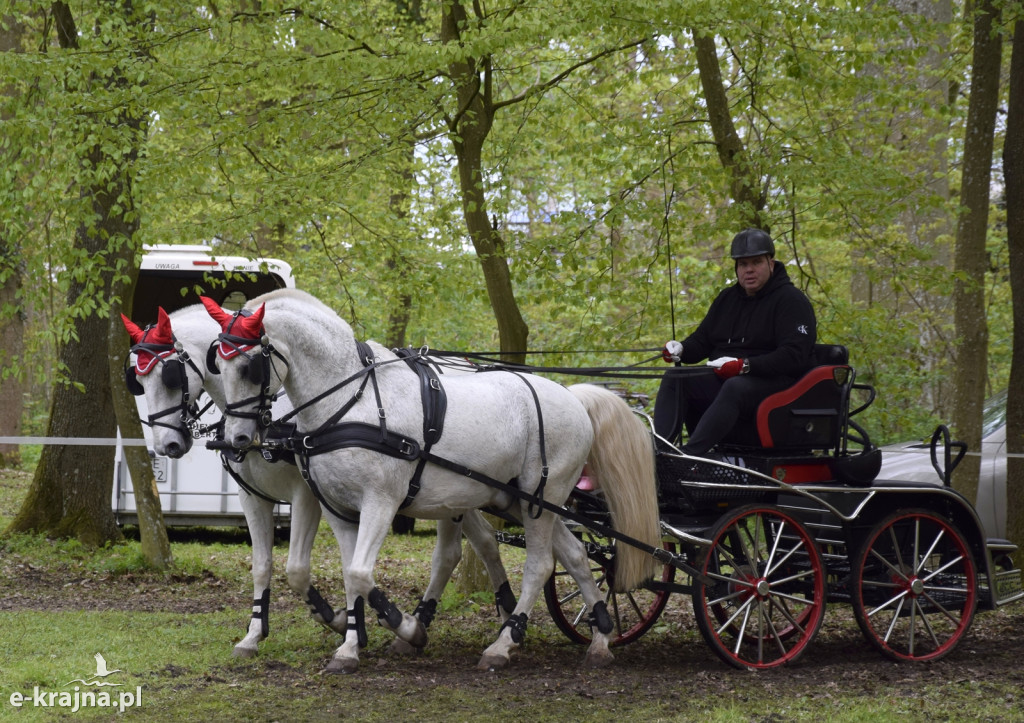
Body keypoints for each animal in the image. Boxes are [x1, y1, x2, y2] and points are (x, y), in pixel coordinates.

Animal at [122, 303, 516, 659]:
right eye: (137, 380)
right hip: (459, 493)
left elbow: (297, 569)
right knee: (484, 541)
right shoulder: (252, 497)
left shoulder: (306, 495)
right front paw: (254, 634)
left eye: (170, 375)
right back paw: (504, 612)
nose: (167, 445)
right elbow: (262, 566)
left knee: (448, 554)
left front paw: (339, 620)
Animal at [202, 288, 659, 671]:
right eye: (216, 364)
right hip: (523, 500)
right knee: (577, 556)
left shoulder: (381, 502)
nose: (237, 438)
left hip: (539, 498)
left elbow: (361, 574)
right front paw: (349, 645)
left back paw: (504, 643)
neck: (350, 402)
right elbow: (350, 574)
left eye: (249, 365)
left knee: (540, 564)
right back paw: (600, 638)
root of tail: (574, 397)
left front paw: (406, 627)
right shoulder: (338, 508)